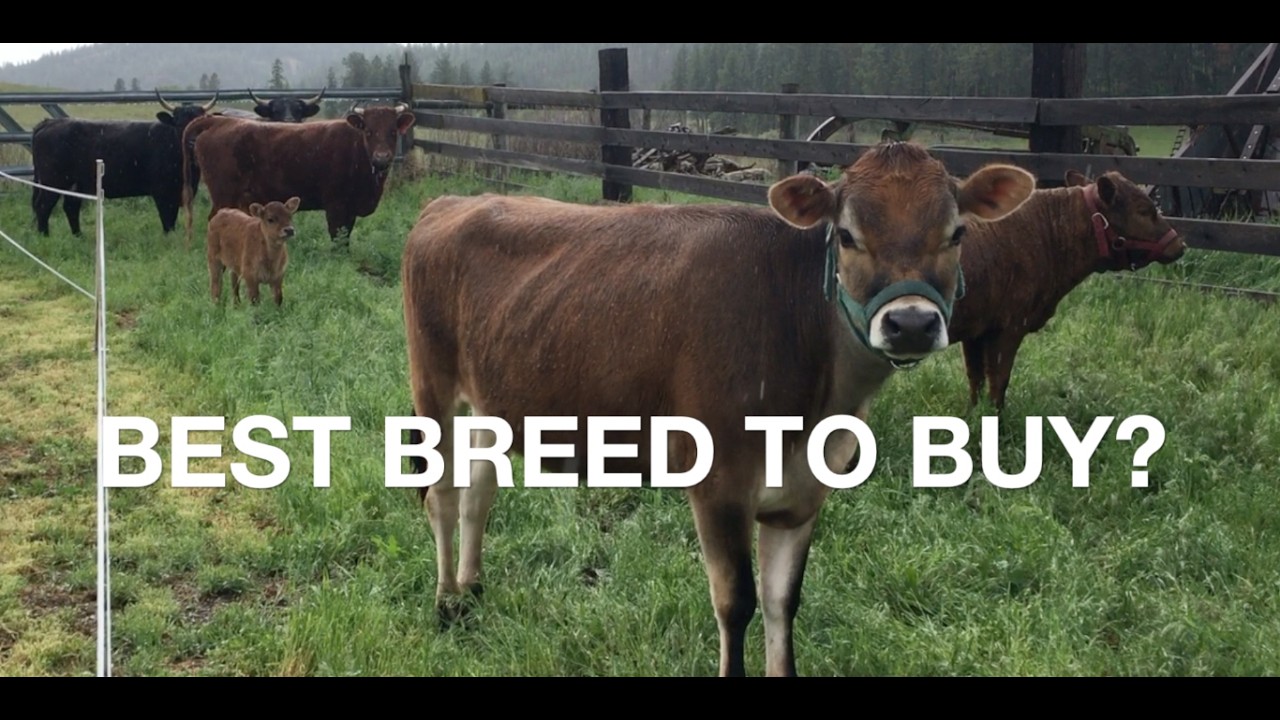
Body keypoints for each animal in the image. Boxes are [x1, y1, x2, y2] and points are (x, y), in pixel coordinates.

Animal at [30, 91, 218, 236]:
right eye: (179, 124)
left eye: (202, 123)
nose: (192, 142)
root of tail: (49, 123)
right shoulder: (161, 192)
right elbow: (167, 219)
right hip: (53, 181)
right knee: (43, 206)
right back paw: (44, 236)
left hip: (75, 184)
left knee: (70, 207)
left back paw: (78, 236)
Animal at [181, 103, 415, 246]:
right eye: (369, 131)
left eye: (393, 131)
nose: (382, 157)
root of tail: (220, 121)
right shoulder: (336, 206)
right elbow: (338, 239)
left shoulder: (350, 210)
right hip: (223, 195)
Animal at [399, 140, 1037, 676]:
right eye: (848, 235)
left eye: (956, 233)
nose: (910, 323)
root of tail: (453, 202)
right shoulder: (718, 481)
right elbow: (736, 602)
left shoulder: (802, 496)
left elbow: (783, 601)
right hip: (432, 384)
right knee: (442, 496)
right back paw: (445, 602)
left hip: (493, 398)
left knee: (478, 492)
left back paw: (471, 589)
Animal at [947, 169, 1187, 411]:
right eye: (1143, 210)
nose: (1180, 245)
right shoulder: (1009, 326)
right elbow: (998, 381)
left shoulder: (977, 329)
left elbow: (976, 377)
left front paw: (974, 412)